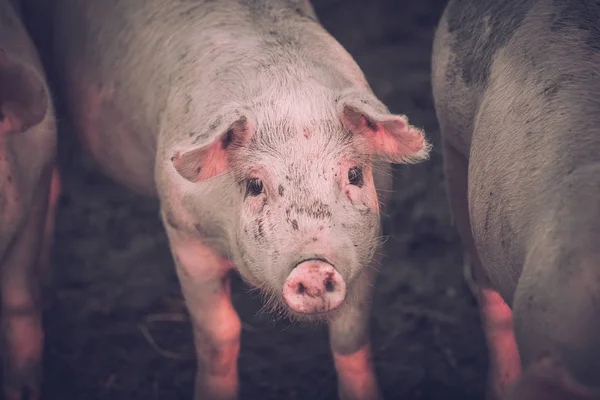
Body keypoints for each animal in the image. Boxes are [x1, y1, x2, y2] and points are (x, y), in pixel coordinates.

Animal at [45, 0, 432, 398]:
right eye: (255, 185)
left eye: (354, 174)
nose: (312, 268)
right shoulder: (183, 230)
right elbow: (220, 332)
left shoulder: (370, 240)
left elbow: (350, 335)